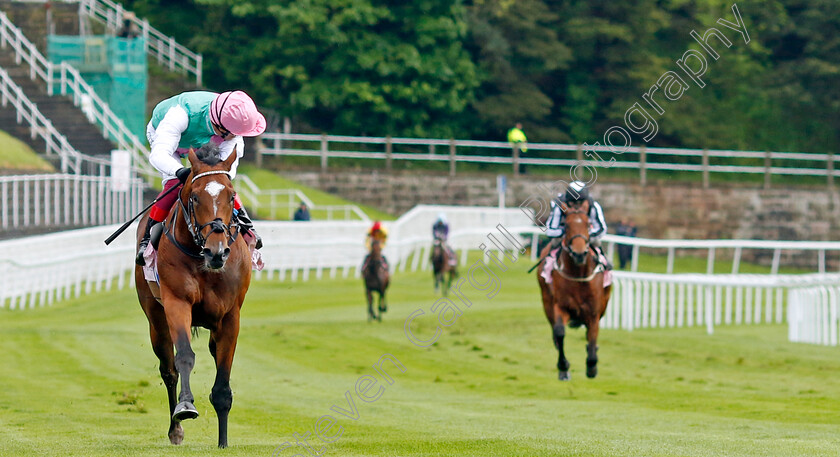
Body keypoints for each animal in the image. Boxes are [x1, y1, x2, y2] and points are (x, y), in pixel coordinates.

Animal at [134, 146, 249, 446]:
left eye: (231, 195)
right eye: (195, 196)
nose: (217, 251)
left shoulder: (230, 316)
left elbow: (222, 383)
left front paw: (223, 442)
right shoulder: (177, 302)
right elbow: (184, 356)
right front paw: (185, 406)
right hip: (155, 318)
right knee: (168, 369)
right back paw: (175, 429)